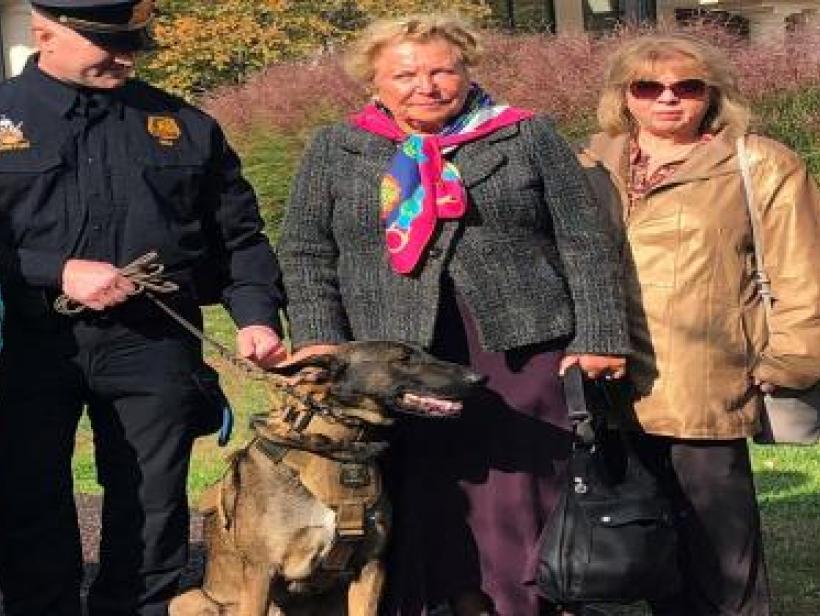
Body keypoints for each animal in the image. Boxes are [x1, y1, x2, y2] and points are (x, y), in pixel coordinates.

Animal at [170, 342, 484, 616]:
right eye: (404, 359)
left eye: (427, 352)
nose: (480, 378)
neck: (339, 448)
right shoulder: (261, 570)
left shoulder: (371, 566)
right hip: (186, 600)